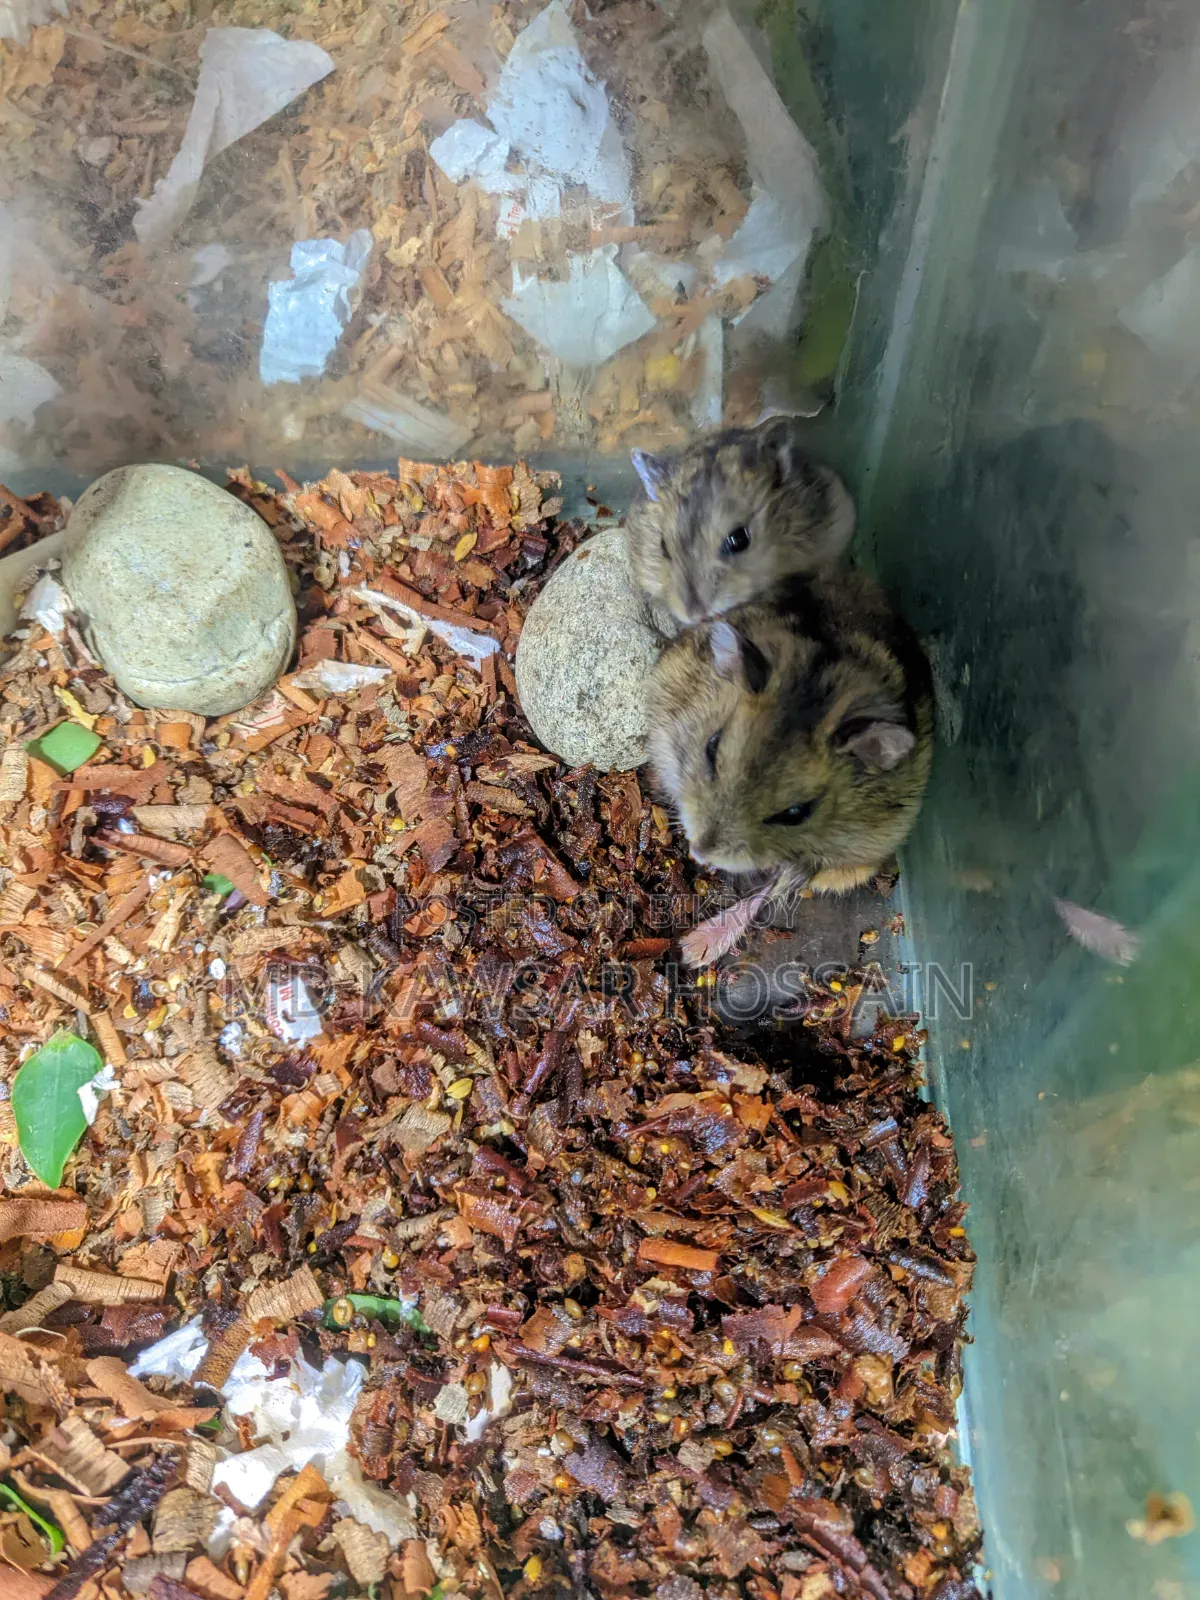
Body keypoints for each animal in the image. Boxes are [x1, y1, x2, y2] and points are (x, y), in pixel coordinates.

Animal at [647, 569, 934, 966]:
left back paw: (694, 950)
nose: (699, 854)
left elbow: (773, 887)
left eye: (796, 813)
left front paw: (692, 952)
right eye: (712, 747)